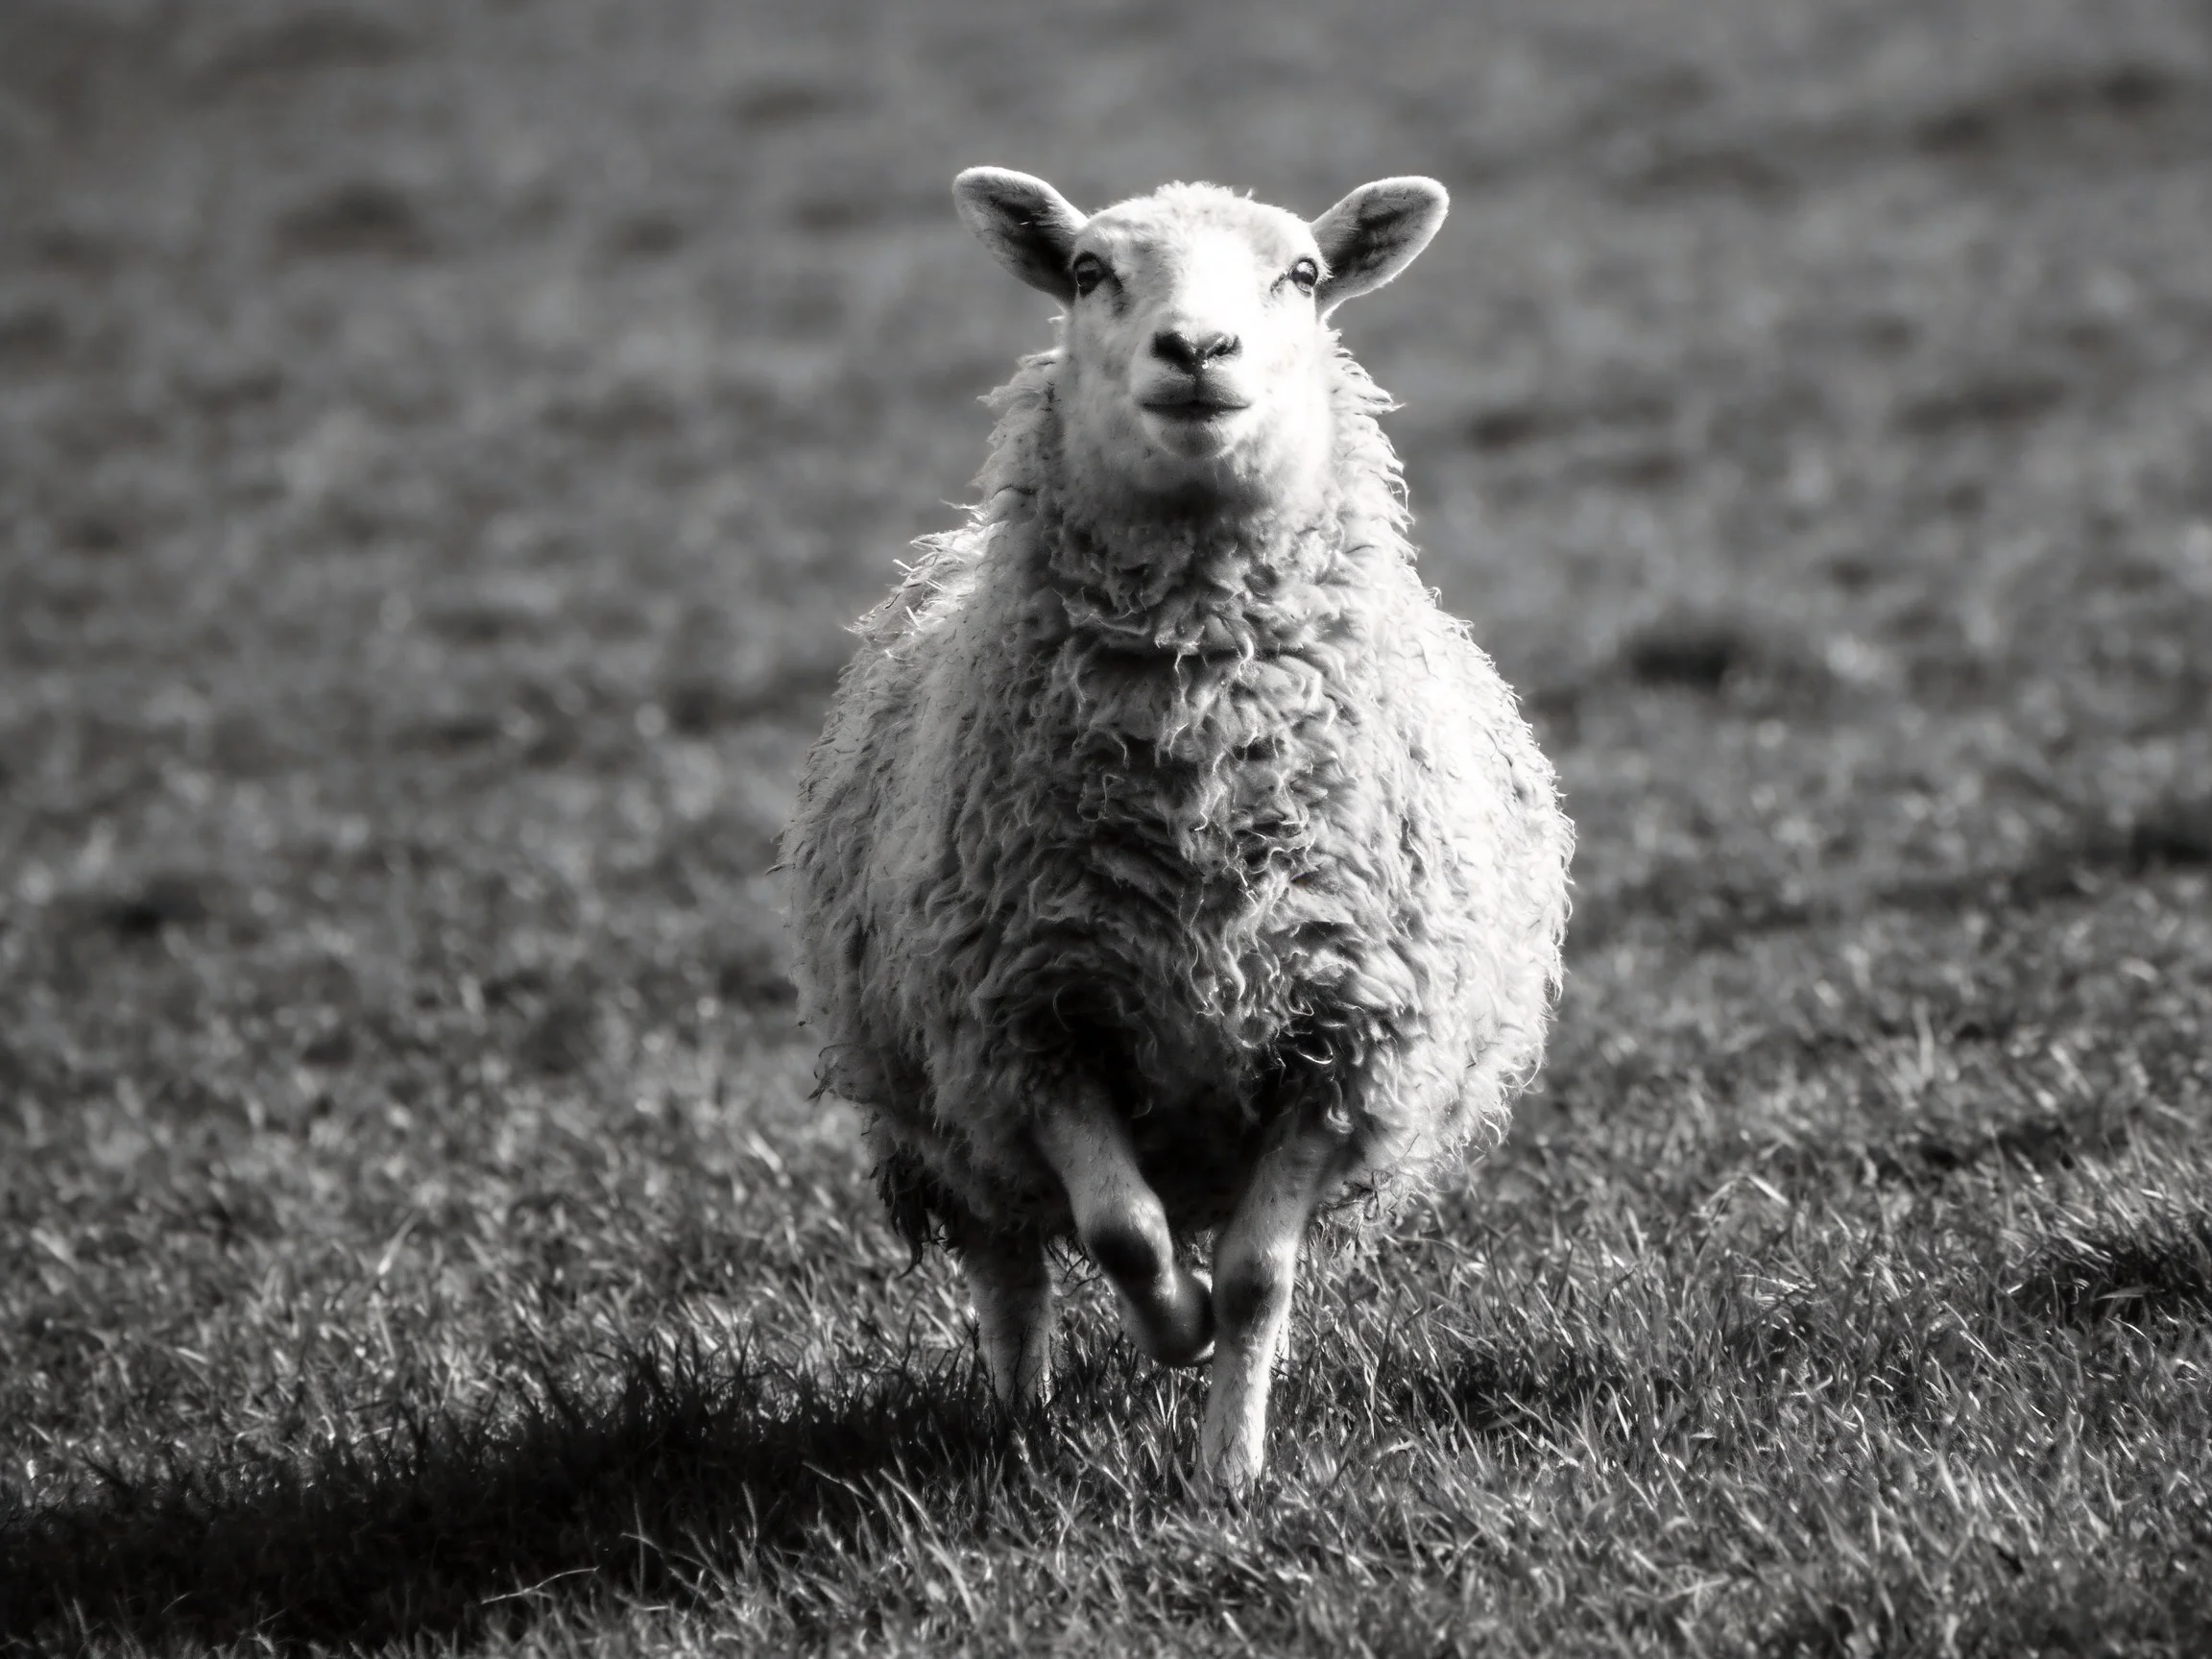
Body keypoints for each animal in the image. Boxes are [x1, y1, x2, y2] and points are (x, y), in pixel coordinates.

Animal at [781, 168, 1573, 1494]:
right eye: (1089, 271)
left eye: (1303, 274)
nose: (1197, 350)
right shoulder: (1034, 1026)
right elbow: (1124, 1234)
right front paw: (1175, 1327)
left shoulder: (1342, 1044)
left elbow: (1257, 1277)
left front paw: (1229, 1469)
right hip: (945, 1107)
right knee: (1008, 1262)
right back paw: (1018, 1419)